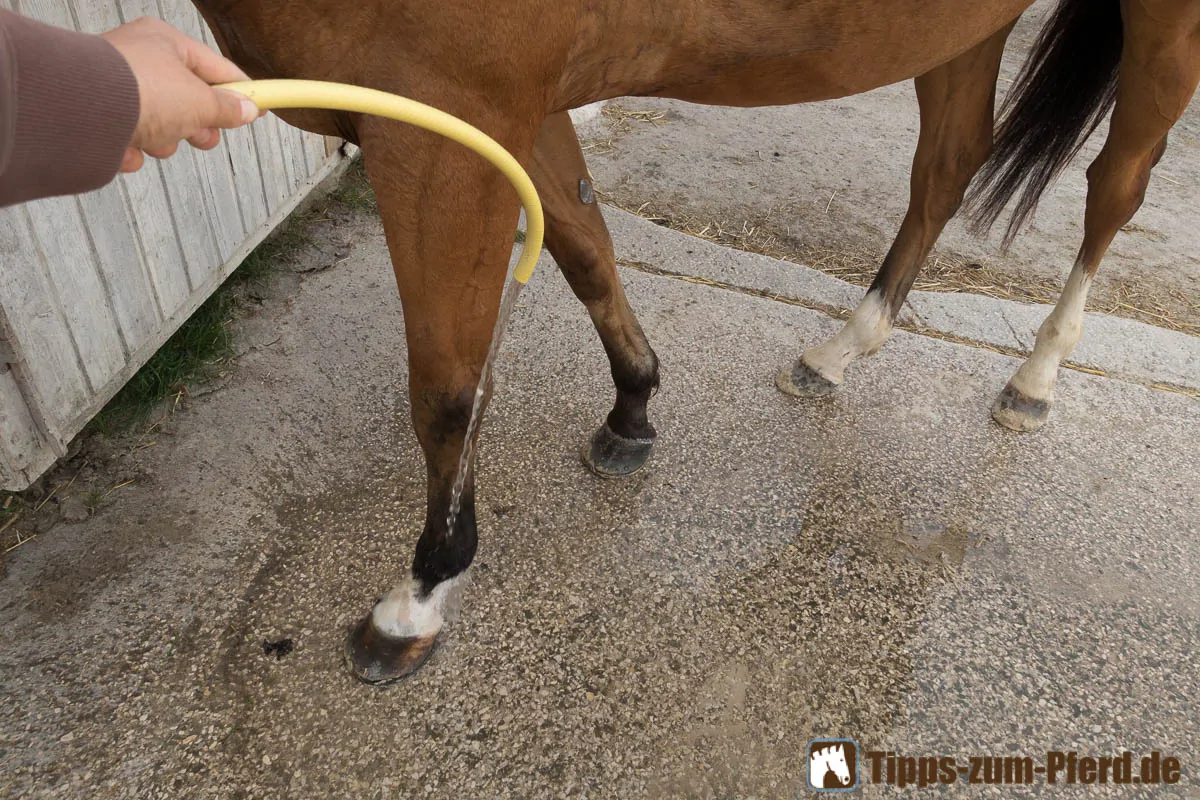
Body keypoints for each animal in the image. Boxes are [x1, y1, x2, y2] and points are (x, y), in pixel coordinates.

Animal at [194, 0, 1200, 681]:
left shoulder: (442, 128)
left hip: (1163, 25)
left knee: (1118, 185)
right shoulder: (520, 109)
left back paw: (1036, 377)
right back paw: (840, 350)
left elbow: (446, 386)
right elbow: (586, 248)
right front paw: (633, 404)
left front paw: (419, 595)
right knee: (948, 165)